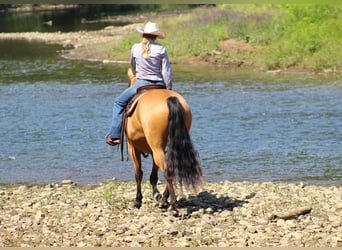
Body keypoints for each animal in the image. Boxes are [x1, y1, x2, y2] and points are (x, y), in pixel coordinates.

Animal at [119, 69, 203, 215]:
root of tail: (170, 99)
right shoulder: (153, 151)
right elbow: (153, 175)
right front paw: (156, 195)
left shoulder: (133, 147)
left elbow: (138, 173)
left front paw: (138, 201)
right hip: (166, 147)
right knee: (172, 169)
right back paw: (165, 200)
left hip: (156, 148)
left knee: (167, 171)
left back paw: (173, 206)